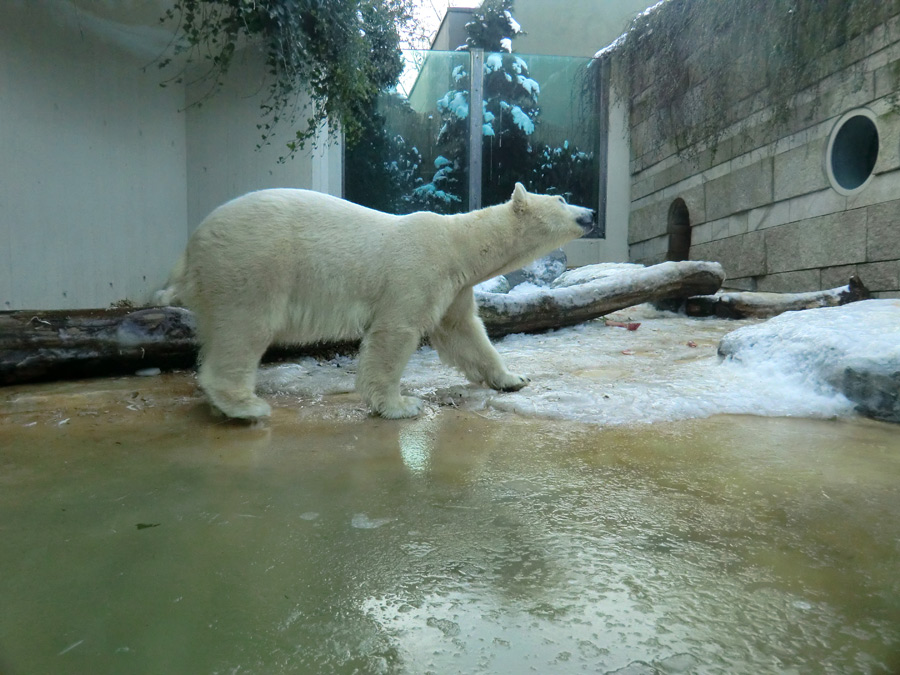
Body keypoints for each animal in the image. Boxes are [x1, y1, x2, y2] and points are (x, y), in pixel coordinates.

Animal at [160, 182, 596, 420]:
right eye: (561, 198)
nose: (591, 212)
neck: (458, 244)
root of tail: (190, 248)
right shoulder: (418, 271)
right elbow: (396, 332)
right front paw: (400, 405)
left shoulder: (454, 288)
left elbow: (464, 333)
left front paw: (513, 378)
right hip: (253, 262)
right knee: (245, 327)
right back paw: (244, 407)